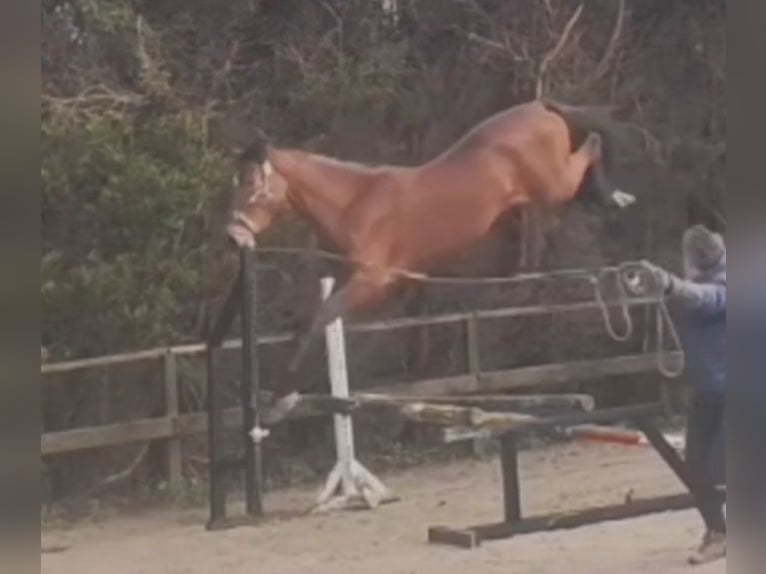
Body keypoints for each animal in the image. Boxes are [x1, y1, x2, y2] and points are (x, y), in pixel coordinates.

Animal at [225, 99, 638, 418]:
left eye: (253, 184)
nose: (233, 235)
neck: (354, 203)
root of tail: (540, 107)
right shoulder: (356, 280)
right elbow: (309, 323)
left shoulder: (373, 283)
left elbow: (321, 317)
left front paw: (282, 398)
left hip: (555, 183)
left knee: (593, 144)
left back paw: (612, 197)